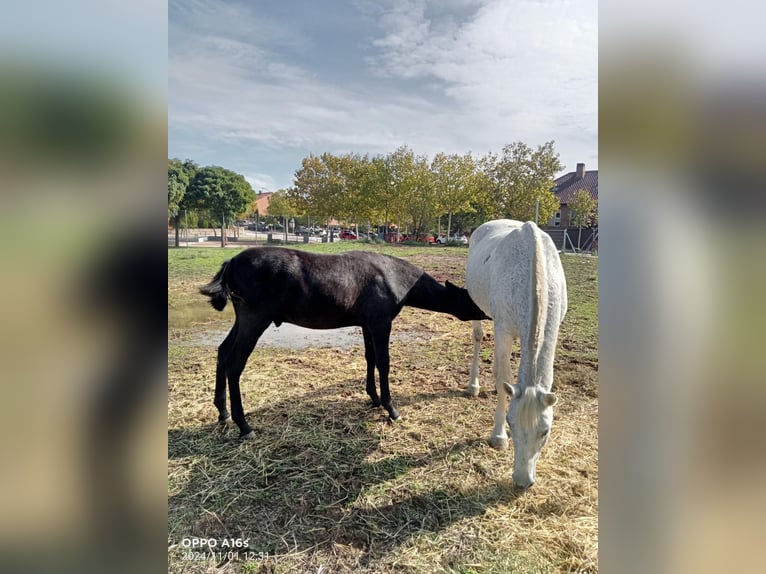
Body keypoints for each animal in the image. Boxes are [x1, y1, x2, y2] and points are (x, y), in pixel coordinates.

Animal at [198, 245, 486, 438]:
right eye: (472, 300)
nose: (489, 311)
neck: (394, 276)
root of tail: (232, 262)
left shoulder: (367, 324)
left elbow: (370, 359)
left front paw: (374, 397)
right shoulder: (381, 323)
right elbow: (384, 362)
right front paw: (390, 407)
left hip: (244, 320)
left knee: (223, 353)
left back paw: (222, 413)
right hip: (255, 319)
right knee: (235, 363)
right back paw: (243, 425)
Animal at [464, 220, 568, 490]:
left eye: (545, 431)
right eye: (511, 423)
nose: (522, 481)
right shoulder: (503, 329)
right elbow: (504, 381)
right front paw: (498, 437)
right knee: (479, 338)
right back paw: (474, 386)